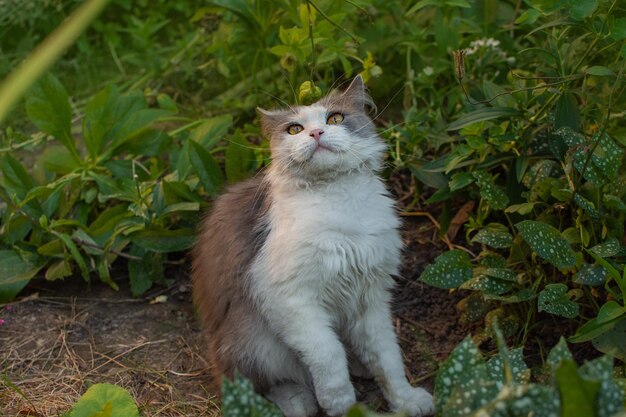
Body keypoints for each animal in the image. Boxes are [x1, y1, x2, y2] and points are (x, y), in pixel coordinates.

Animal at [191, 75, 434, 416]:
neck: (339, 202)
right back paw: (298, 400)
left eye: (335, 119)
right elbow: (328, 354)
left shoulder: (372, 295)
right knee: (261, 385)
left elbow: (388, 359)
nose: (317, 133)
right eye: (294, 129)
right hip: (253, 341)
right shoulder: (288, 296)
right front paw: (341, 404)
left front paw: (405, 399)